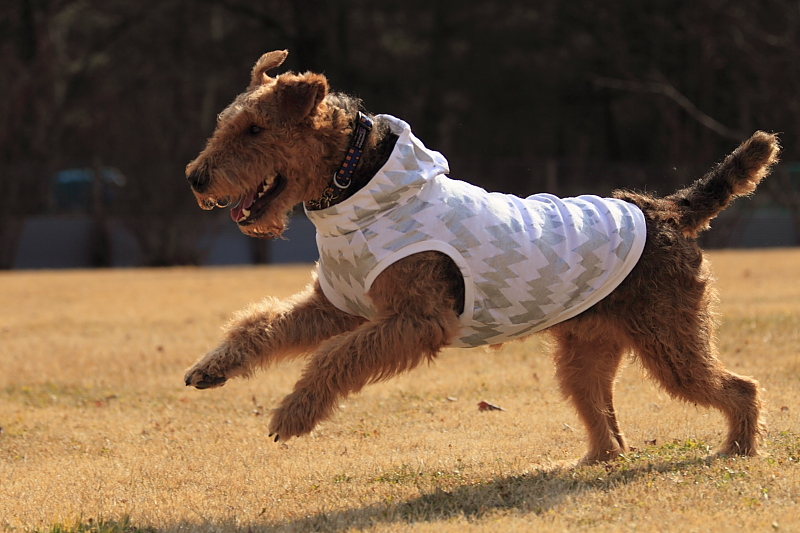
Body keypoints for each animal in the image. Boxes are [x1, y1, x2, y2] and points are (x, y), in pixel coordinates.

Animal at [184, 52, 780, 464]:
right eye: (226, 124)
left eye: (256, 128)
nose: (196, 177)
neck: (357, 185)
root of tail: (667, 208)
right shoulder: (338, 304)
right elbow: (261, 325)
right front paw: (211, 368)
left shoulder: (419, 320)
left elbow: (334, 357)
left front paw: (293, 414)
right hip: (585, 352)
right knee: (609, 427)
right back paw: (589, 460)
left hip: (670, 344)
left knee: (742, 388)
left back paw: (738, 450)